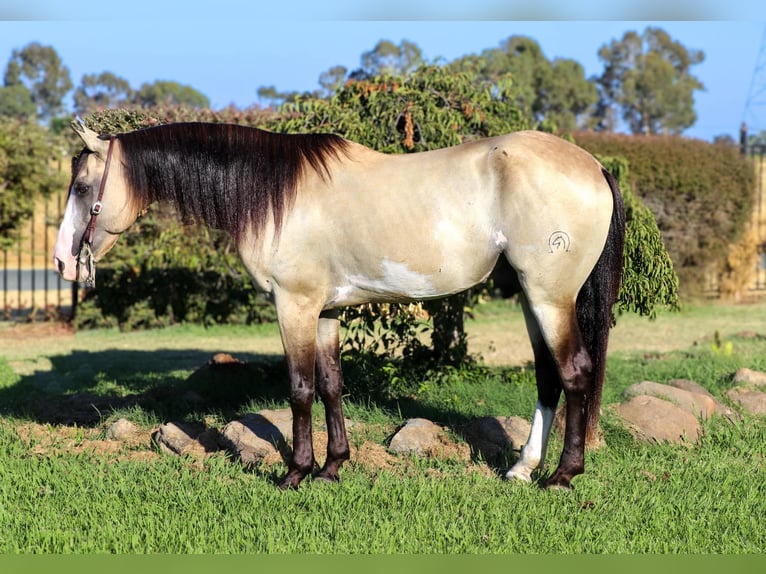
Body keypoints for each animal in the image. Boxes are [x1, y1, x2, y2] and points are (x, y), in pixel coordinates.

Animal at [55, 121, 632, 490]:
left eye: (82, 187)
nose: (62, 262)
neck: (275, 195)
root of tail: (594, 166)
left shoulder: (294, 306)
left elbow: (300, 389)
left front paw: (295, 473)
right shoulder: (327, 311)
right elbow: (332, 384)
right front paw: (333, 467)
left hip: (550, 298)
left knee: (575, 373)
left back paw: (562, 475)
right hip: (536, 300)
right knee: (548, 379)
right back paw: (521, 469)